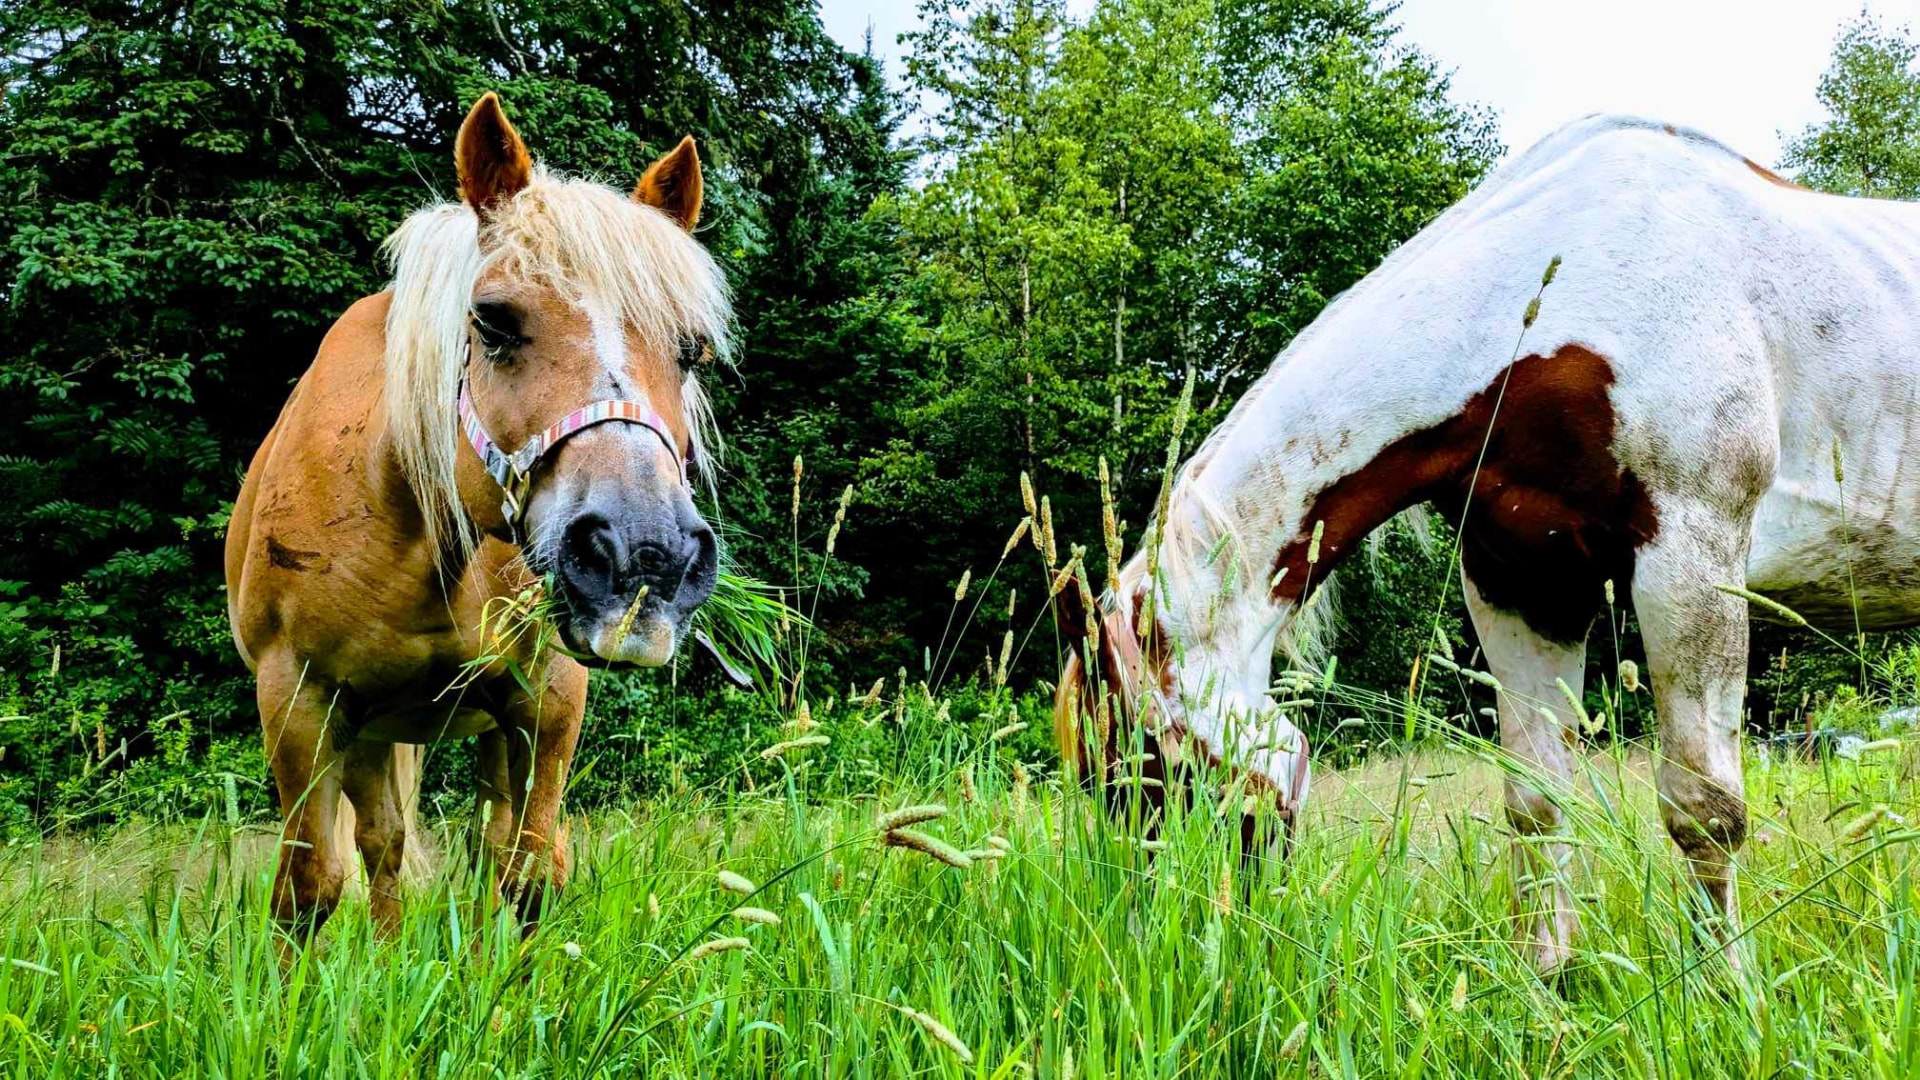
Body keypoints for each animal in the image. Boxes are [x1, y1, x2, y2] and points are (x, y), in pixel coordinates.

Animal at [225, 93, 730, 939]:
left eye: (692, 350)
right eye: (493, 321)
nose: (645, 557)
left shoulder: (547, 695)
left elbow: (528, 876)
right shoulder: (296, 700)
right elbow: (310, 891)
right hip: (366, 732)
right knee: (383, 844)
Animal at [1055, 113, 1920, 972]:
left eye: (1147, 767)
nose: (1175, 945)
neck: (1563, 313)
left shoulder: (1691, 561)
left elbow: (1704, 812)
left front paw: (1726, 994)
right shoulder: (1524, 584)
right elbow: (1537, 802)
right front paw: (1548, 983)